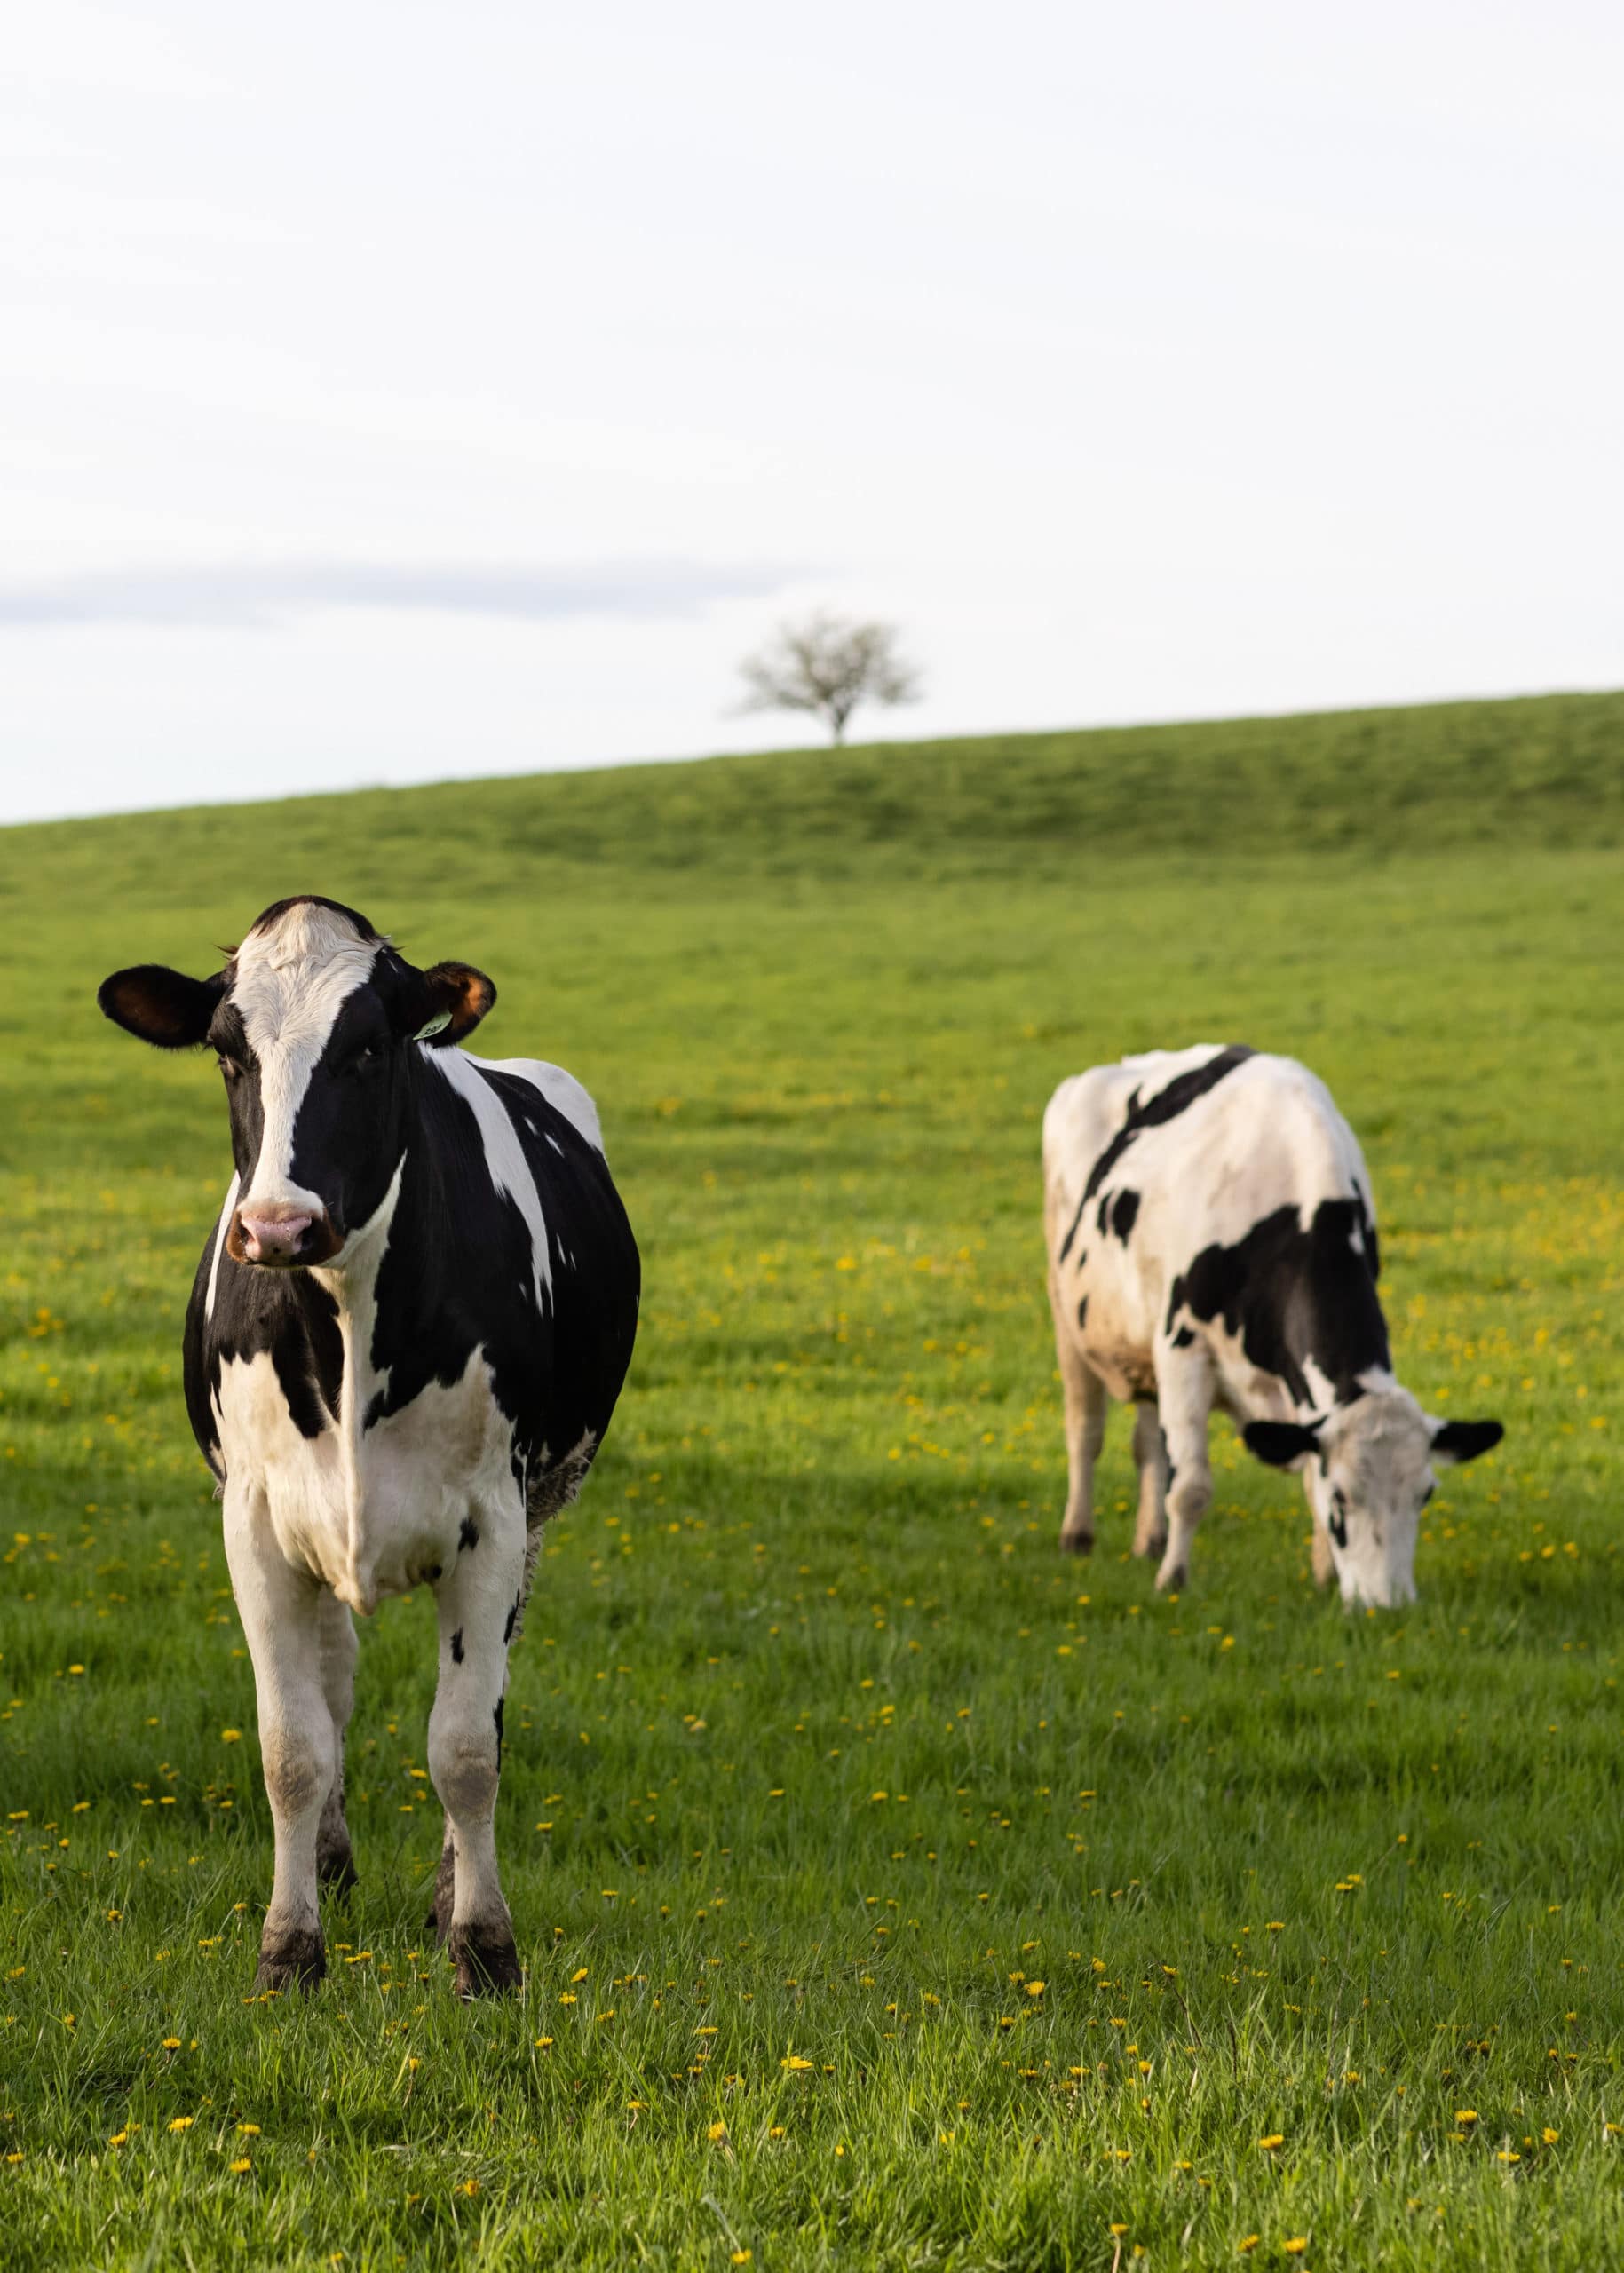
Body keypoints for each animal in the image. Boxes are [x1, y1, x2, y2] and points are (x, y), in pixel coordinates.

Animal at [94, 895, 637, 2000]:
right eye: (228, 1052)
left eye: (372, 1048)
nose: (278, 1226)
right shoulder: (254, 1523)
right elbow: (291, 1743)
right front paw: (289, 1946)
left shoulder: (491, 1522)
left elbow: (467, 1745)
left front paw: (481, 1944)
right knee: (335, 1684)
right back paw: (336, 1863)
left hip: (538, 1514)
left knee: (483, 1707)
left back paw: (444, 1890)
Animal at [1042, 1041, 1501, 1609]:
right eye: (1341, 1497)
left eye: (1426, 1495)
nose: (1387, 1605)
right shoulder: (1182, 1347)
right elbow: (1191, 1486)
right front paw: (1173, 1580)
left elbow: (1295, 1473)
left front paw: (1324, 1577)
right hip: (1067, 1314)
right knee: (1085, 1431)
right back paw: (1078, 1535)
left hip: (1139, 1342)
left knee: (1147, 1441)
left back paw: (1149, 1539)